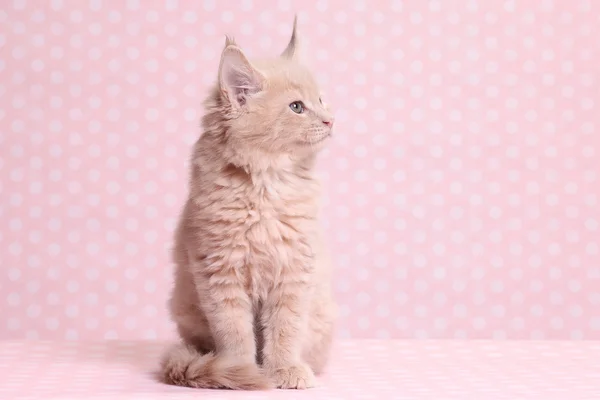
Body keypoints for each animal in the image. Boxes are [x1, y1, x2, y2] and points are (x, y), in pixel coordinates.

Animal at [159, 17, 338, 390]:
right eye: (297, 107)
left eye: (321, 99)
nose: (331, 120)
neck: (265, 187)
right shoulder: (218, 273)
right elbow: (234, 332)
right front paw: (239, 371)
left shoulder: (294, 272)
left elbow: (285, 329)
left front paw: (285, 369)